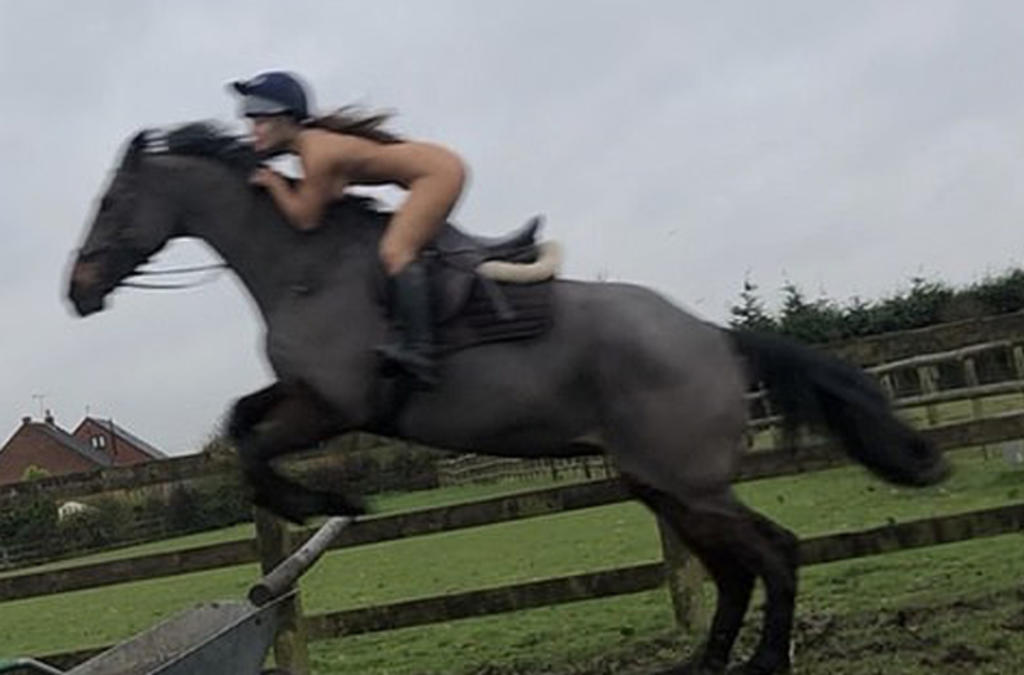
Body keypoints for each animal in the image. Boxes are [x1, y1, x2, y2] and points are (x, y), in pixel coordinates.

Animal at [67, 124, 948, 675]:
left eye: (110, 203)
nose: (76, 291)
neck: (303, 264)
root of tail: (713, 336)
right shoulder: (302, 393)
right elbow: (240, 423)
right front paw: (315, 509)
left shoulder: (336, 405)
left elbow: (253, 445)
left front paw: (331, 500)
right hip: (656, 481)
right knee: (733, 569)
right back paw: (702, 659)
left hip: (688, 481)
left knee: (774, 552)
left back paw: (760, 659)